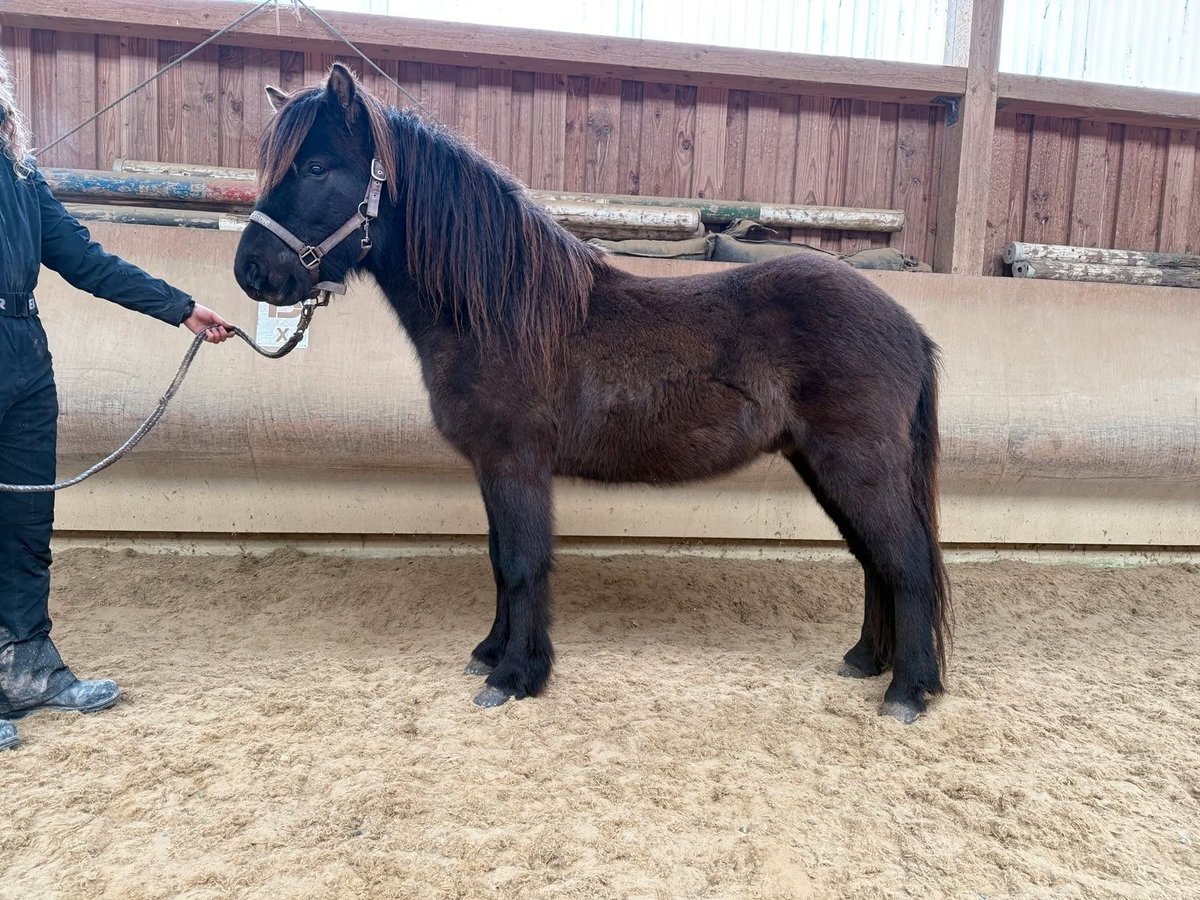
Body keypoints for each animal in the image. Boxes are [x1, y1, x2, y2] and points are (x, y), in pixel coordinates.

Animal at [231, 65, 945, 724]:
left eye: (316, 167)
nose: (251, 271)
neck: (500, 312)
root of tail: (909, 328)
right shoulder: (492, 467)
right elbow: (499, 559)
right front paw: (490, 653)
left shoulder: (516, 462)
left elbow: (523, 562)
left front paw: (515, 676)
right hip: (824, 467)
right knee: (875, 559)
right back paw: (866, 661)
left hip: (855, 463)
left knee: (905, 560)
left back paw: (907, 692)